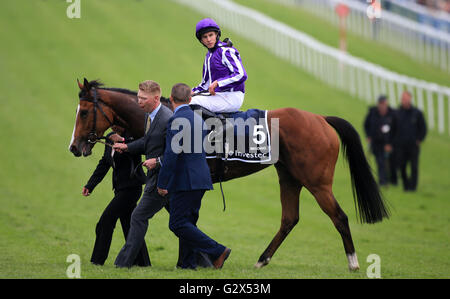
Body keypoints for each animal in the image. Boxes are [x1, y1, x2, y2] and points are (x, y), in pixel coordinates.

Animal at [68, 79, 388, 272]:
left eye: (83, 112)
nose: (74, 147)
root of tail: (321, 119)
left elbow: (185, 220)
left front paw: (200, 258)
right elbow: (186, 219)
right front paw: (201, 257)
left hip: (317, 181)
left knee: (339, 217)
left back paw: (353, 263)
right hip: (289, 177)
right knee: (289, 219)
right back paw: (261, 261)